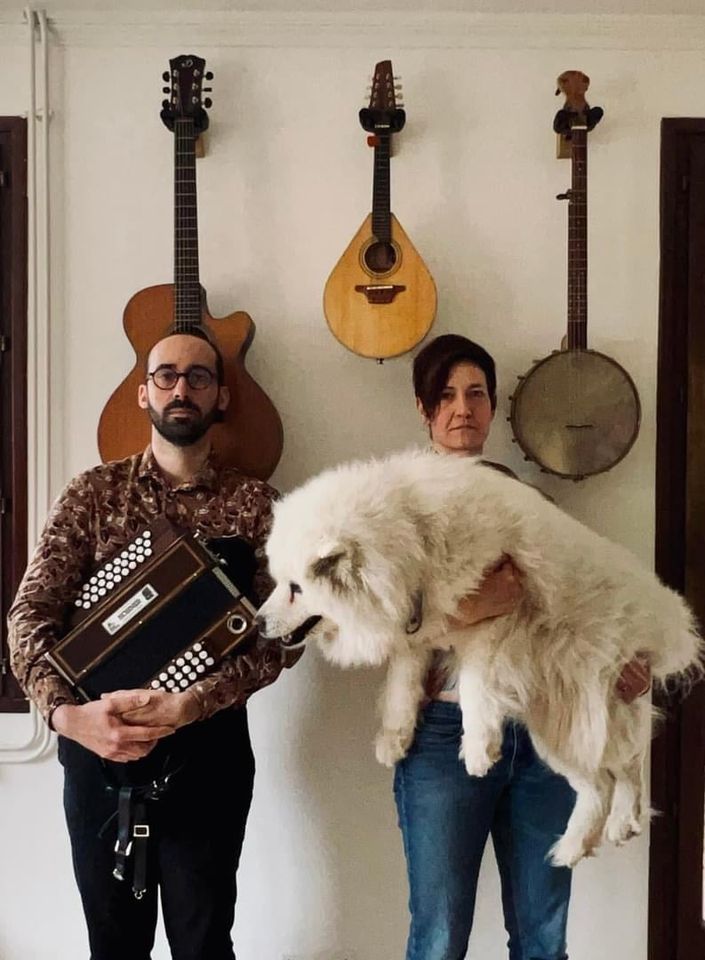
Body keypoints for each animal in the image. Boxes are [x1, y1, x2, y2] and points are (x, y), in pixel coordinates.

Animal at [256, 452, 700, 872]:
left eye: (296, 588)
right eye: (279, 583)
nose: (257, 623)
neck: (415, 538)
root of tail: (666, 616)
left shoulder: (494, 624)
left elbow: (474, 688)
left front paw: (477, 750)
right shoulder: (417, 637)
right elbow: (402, 687)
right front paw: (393, 741)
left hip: (584, 707)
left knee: (618, 771)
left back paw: (597, 835)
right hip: (564, 726)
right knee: (613, 777)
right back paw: (596, 837)